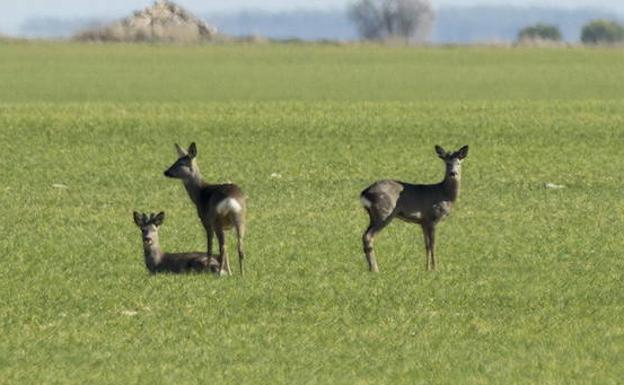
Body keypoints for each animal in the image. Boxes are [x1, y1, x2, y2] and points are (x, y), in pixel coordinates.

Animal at [163, 142, 246, 274]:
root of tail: (230, 201)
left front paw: (207, 269)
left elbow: (209, 246)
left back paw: (218, 273)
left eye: (181, 163)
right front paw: (230, 272)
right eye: (175, 160)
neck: (199, 194)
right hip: (241, 218)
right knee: (239, 246)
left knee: (222, 247)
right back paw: (242, 274)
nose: (166, 172)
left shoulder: (205, 221)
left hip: (216, 220)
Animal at [360, 144, 468, 272]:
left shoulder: (423, 222)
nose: (453, 173)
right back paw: (375, 269)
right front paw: (435, 268)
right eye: (447, 163)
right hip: (384, 213)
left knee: (365, 236)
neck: (444, 195)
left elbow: (426, 245)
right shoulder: (432, 218)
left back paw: (371, 268)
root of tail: (364, 193)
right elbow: (433, 244)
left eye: (459, 162)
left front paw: (427, 268)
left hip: (373, 215)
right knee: (368, 236)